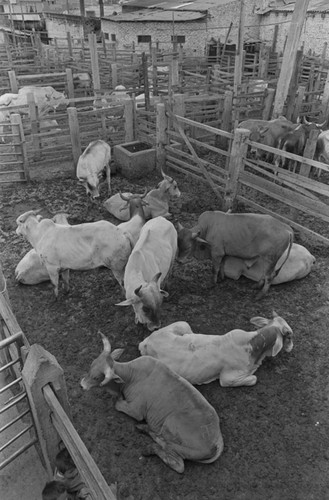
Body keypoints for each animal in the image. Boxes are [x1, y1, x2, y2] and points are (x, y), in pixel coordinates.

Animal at [14, 202, 145, 296]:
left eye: (19, 223)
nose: (16, 231)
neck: (39, 235)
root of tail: (122, 232)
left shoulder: (51, 267)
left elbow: (54, 284)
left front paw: (56, 298)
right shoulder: (64, 267)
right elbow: (66, 280)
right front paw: (66, 292)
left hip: (116, 266)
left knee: (122, 282)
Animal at [80, 332, 223, 472]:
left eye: (97, 377)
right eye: (91, 364)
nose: (82, 385)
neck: (130, 376)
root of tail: (217, 440)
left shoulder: (136, 410)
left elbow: (117, 404)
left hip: (171, 426)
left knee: (176, 461)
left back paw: (149, 448)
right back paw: (144, 428)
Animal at [138, 310, 292, 388]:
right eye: (289, 336)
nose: (291, 347)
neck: (253, 346)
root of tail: (147, 342)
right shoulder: (228, 379)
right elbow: (253, 378)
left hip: (183, 324)